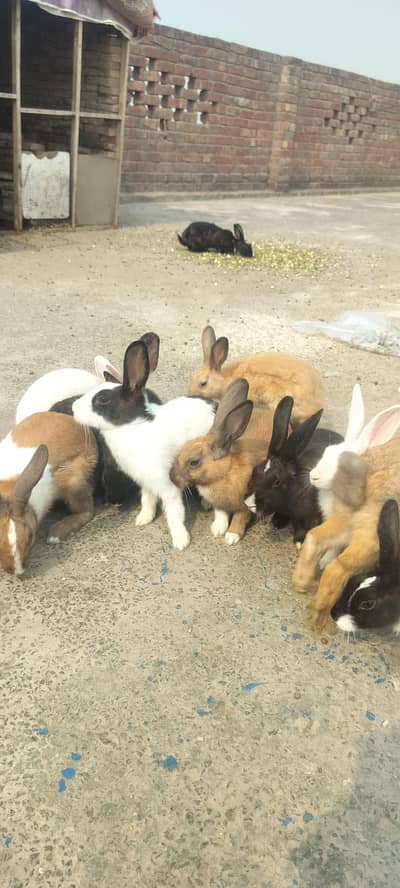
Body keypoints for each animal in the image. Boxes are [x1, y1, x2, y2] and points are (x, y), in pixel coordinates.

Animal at [71, 339, 217, 550]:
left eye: (103, 399)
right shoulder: (145, 482)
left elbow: (174, 514)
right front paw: (143, 519)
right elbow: (147, 500)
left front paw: (181, 541)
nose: (73, 407)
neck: (133, 427)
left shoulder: (168, 486)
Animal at [170, 379, 274, 544]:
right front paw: (218, 528)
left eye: (194, 462)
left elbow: (239, 518)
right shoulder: (219, 503)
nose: (172, 478)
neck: (224, 473)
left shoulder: (245, 504)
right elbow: (220, 513)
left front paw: (231, 536)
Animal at [245, 396, 343, 546]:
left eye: (277, 482)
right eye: (255, 470)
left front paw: (300, 542)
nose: (248, 503)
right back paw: (277, 522)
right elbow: (298, 526)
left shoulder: (310, 514)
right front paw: (298, 539)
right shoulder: (297, 517)